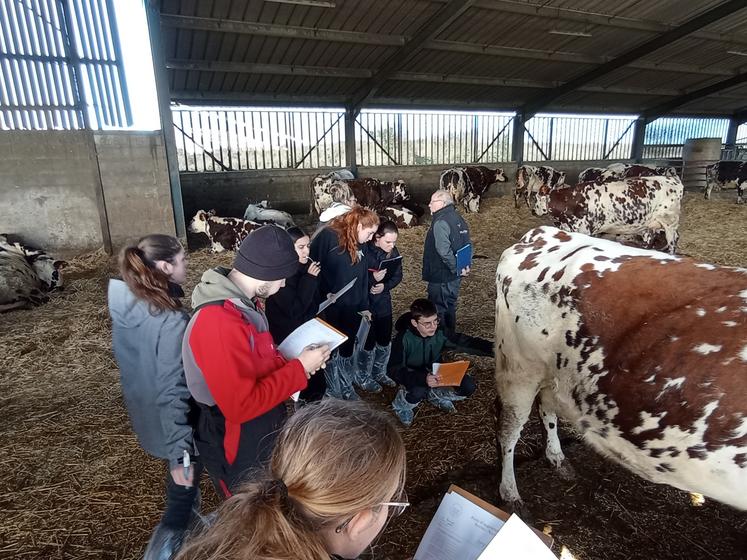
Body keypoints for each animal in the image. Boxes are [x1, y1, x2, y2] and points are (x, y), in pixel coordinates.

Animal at [496, 226, 747, 512]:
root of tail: (543, 234)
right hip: (520, 371)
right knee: (509, 430)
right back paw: (510, 493)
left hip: (553, 372)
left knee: (547, 408)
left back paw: (557, 457)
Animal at [532, 175, 684, 254]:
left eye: (537, 198)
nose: (533, 211)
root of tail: (673, 179)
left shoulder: (585, 230)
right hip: (649, 225)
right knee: (649, 241)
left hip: (669, 223)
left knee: (673, 240)